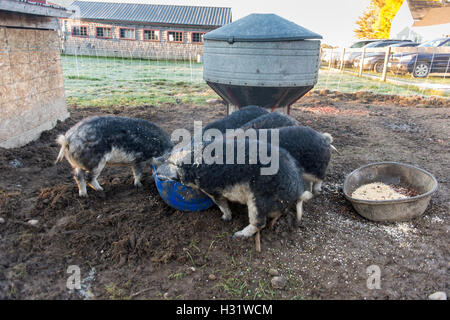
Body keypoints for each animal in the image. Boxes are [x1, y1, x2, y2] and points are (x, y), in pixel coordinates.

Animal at [155, 138, 312, 238]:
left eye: (171, 164)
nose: (156, 174)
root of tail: (297, 189)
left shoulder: (212, 190)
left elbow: (222, 205)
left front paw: (225, 218)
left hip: (259, 200)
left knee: (259, 223)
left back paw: (238, 235)